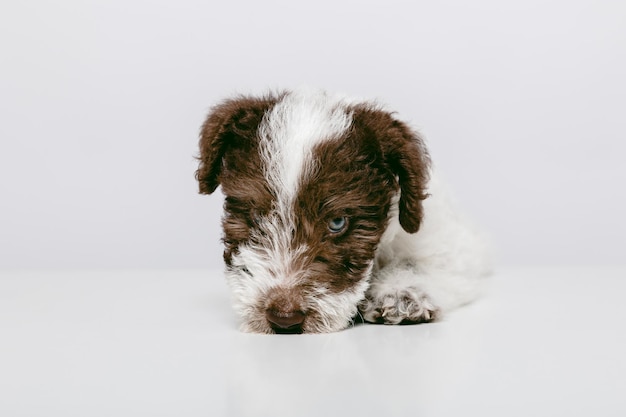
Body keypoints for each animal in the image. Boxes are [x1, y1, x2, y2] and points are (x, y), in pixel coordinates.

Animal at [195, 89, 488, 334]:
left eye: (337, 222)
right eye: (257, 217)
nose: (284, 319)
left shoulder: (454, 245)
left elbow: (422, 264)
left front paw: (401, 294)